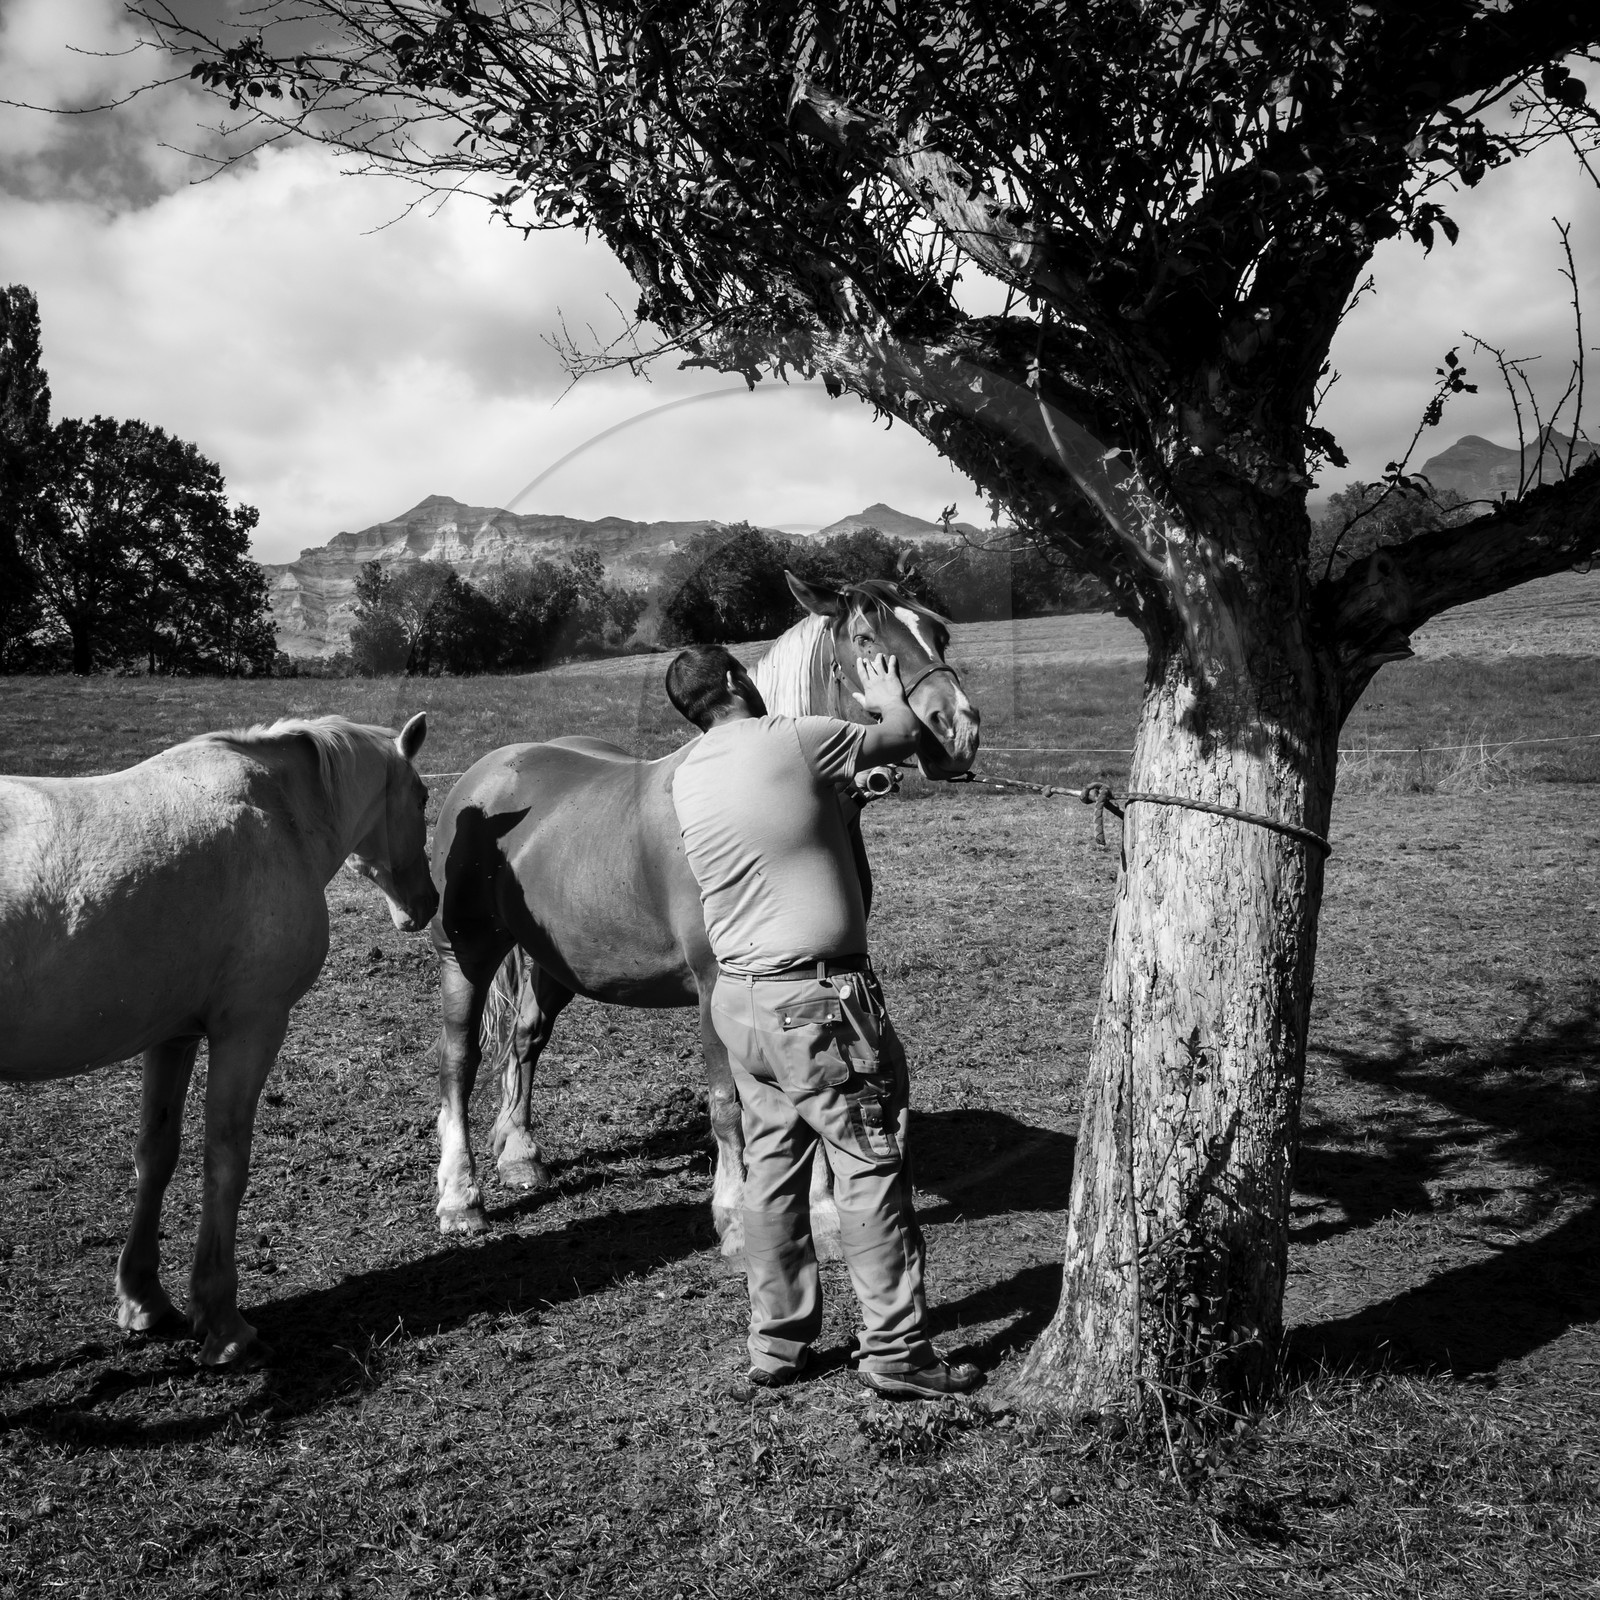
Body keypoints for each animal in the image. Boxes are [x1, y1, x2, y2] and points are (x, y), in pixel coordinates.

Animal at [0, 714, 437, 1366]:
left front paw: (145, 1299)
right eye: (424, 797)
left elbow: (155, 1155)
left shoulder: (173, 1036)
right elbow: (226, 1159)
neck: (276, 809)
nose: (427, 902)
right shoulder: (250, 1027)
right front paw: (223, 1322)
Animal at [429, 572, 980, 1251]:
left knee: (525, 1039)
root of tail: (488, 777)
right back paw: (460, 1198)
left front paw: (823, 1212)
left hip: (556, 962)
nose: (956, 729)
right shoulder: (718, 983)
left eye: (938, 632)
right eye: (865, 638)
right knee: (458, 1060)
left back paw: (520, 1156)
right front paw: (736, 1213)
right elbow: (727, 1102)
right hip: (466, 951)